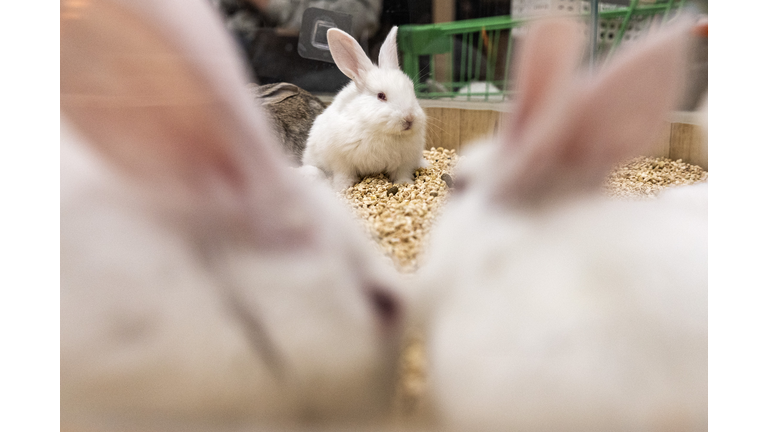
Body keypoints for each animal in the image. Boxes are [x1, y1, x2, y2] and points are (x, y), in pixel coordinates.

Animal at [304, 25, 428, 191]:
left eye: (411, 90)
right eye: (381, 96)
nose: (409, 118)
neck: (383, 132)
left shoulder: (405, 162)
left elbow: (402, 173)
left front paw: (405, 183)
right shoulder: (341, 160)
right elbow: (343, 174)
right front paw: (342, 188)